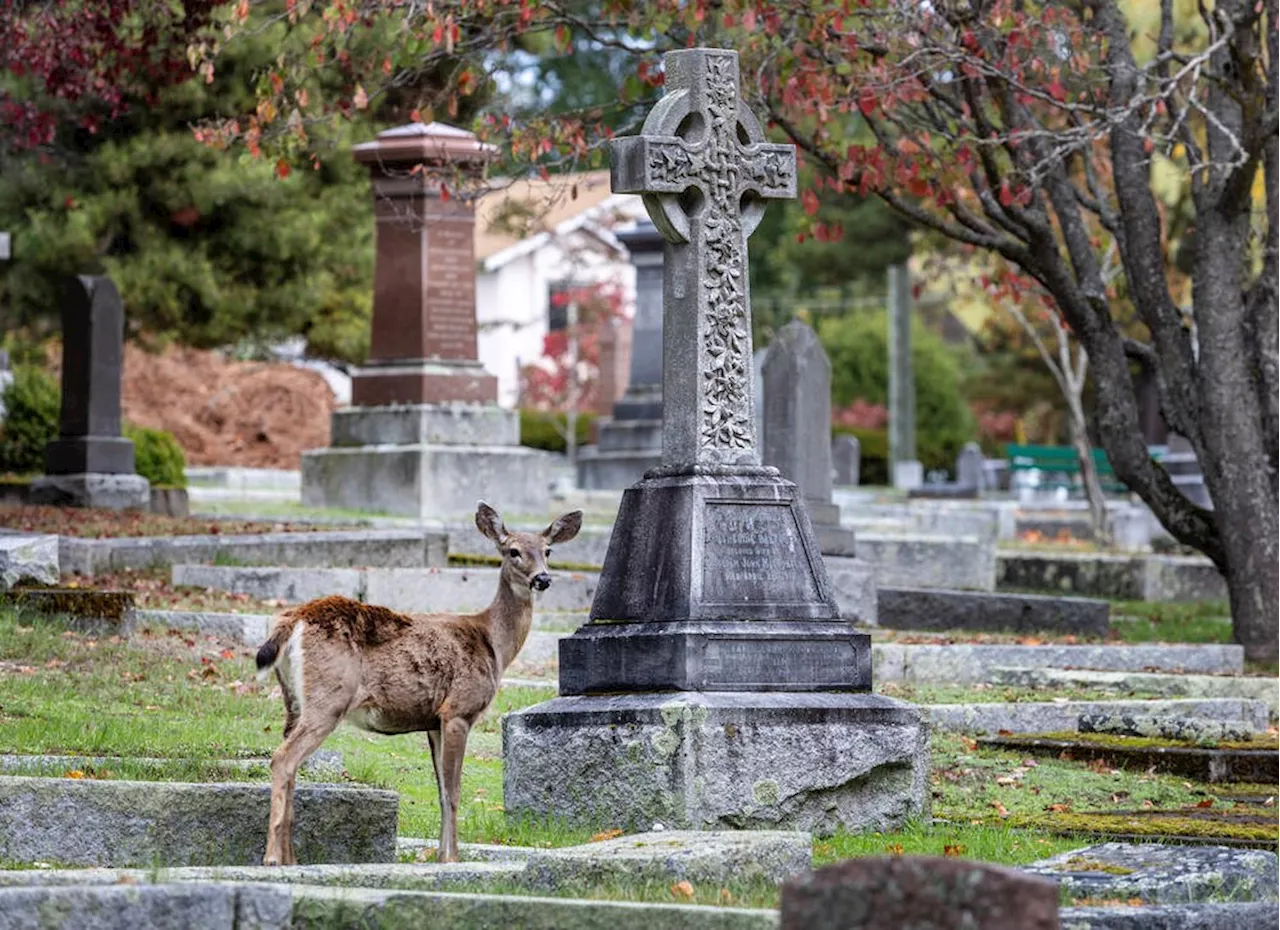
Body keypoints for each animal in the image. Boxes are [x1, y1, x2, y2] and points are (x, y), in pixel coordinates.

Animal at [252, 498, 583, 869]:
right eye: (513, 551)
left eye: (548, 550)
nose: (543, 578)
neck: (493, 643)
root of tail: (293, 619)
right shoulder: (458, 710)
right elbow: (453, 791)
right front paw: (451, 859)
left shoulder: (433, 722)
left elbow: (440, 791)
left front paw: (441, 854)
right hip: (329, 696)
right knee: (283, 759)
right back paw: (272, 858)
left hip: (293, 700)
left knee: (291, 762)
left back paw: (291, 858)